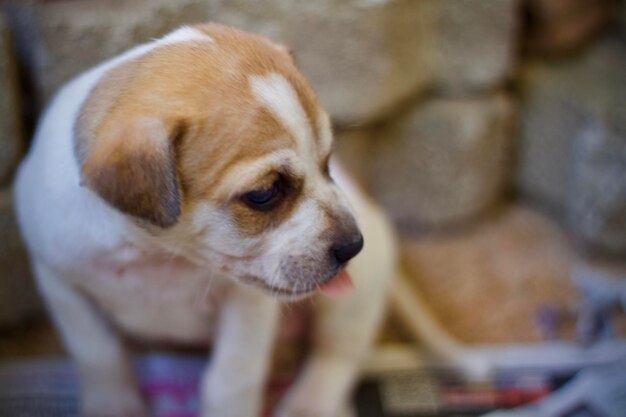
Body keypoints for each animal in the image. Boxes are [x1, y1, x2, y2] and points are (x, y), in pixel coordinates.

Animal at [14, 23, 398, 416]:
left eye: (327, 162)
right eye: (264, 193)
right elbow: (98, 356)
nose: (354, 245)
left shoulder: (247, 306)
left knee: (335, 355)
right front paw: (113, 406)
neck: (158, 255)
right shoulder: (61, 286)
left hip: (357, 297)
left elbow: (232, 375)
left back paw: (308, 404)